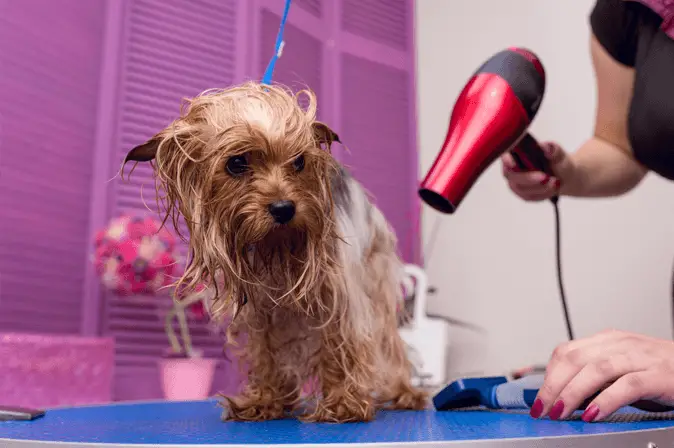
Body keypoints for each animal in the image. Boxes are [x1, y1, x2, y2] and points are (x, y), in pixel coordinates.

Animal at [123, 82, 428, 422]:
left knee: (389, 342)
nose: (284, 208)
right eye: (236, 163)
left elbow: (339, 342)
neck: (276, 245)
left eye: (299, 162)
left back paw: (405, 392)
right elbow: (265, 351)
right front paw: (267, 400)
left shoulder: (338, 293)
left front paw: (342, 403)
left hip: (375, 278)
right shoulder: (260, 308)